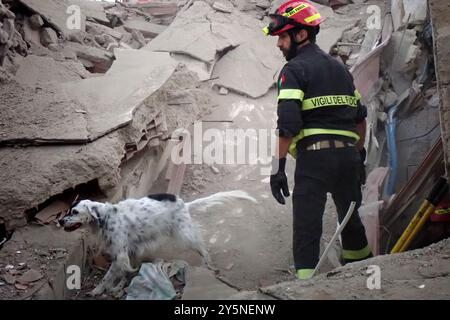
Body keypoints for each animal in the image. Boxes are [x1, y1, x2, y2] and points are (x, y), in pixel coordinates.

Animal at [59, 190, 256, 298]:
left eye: (75, 212)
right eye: (68, 210)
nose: (60, 221)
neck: (105, 218)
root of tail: (183, 203)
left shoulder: (120, 254)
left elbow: (107, 276)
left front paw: (97, 290)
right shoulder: (128, 251)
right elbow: (124, 272)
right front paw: (119, 287)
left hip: (185, 234)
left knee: (202, 247)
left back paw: (210, 265)